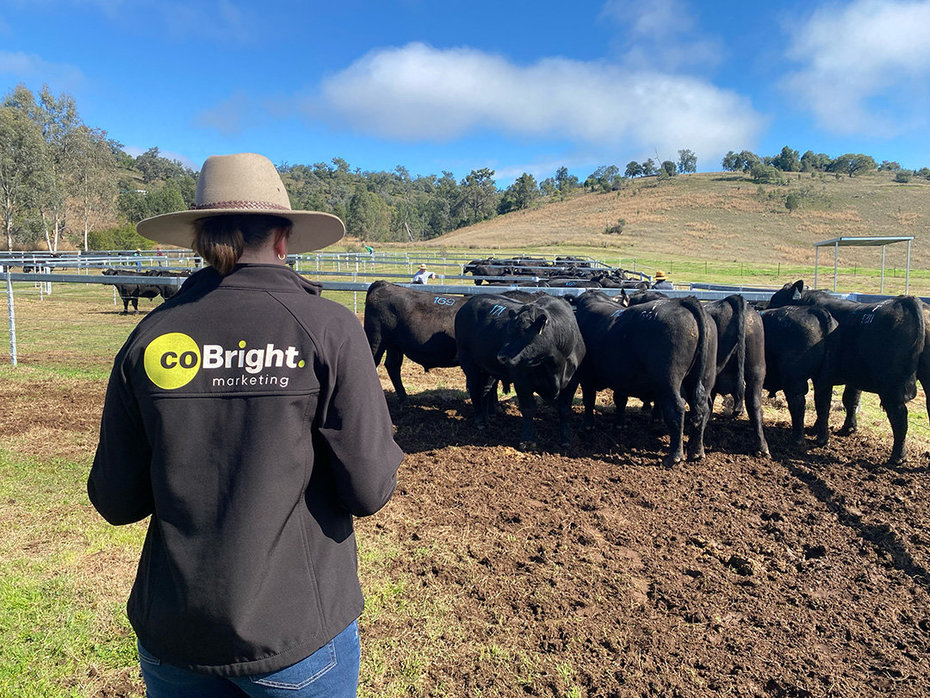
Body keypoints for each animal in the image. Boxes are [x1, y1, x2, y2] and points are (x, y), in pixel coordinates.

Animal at [454, 290, 584, 448]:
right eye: (508, 330)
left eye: (524, 332)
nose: (501, 356)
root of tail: (470, 302)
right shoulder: (522, 381)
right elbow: (528, 409)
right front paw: (527, 440)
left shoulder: (573, 381)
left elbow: (564, 410)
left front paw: (566, 439)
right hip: (468, 362)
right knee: (474, 388)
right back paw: (479, 420)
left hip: (487, 368)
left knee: (484, 390)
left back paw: (486, 419)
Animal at [572, 290, 716, 464]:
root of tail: (681, 301)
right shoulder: (621, 377)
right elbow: (620, 400)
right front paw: (619, 424)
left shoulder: (586, 376)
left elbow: (589, 400)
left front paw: (586, 426)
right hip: (703, 379)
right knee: (703, 409)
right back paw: (696, 452)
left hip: (669, 381)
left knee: (677, 409)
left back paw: (674, 457)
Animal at [756, 304, 836, 446]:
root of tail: (814, 311)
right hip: (823, 378)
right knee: (823, 403)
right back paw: (823, 439)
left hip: (794, 379)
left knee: (797, 403)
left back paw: (798, 439)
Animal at [764, 278, 924, 462]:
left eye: (776, 300)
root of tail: (906, 302)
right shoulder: (850, 378)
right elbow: (848, 400)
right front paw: (848, 428)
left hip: (891, 387)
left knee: (899, 415)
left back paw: (898, 456)